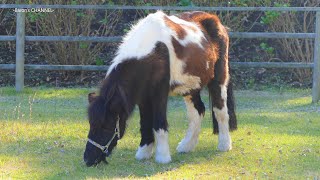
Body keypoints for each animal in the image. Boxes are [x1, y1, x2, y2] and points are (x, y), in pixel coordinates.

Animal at [84, 10, 236, 167]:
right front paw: (144, 153)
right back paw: (186, 146)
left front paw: (163, 157)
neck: (152, 51)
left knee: (220, 111)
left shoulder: (159, 93)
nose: (88, 159)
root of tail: (217, 22)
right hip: (191, 86)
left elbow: (159, 123)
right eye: (91, 123)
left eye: (106, 126)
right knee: (197, 112)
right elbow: (145, 123)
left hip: (218, 80)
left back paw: (224, 145)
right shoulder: (143, 95)